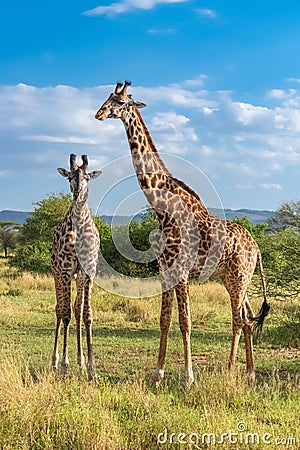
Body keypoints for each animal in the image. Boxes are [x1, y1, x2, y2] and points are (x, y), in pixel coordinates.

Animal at [95, 80, 270, 384]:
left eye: (121, 102)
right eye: (107, 98)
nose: (99, 113)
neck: (162, 209)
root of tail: (257, 249)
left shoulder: (182, 268)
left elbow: (185, 321)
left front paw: (188, 377)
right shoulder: (164, 267)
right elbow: (164, 320)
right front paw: (158, 373)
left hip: (239, 277)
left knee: (239, 319)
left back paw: (230, 371)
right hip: (234, 278)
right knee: (247, 317)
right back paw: (248, 373)